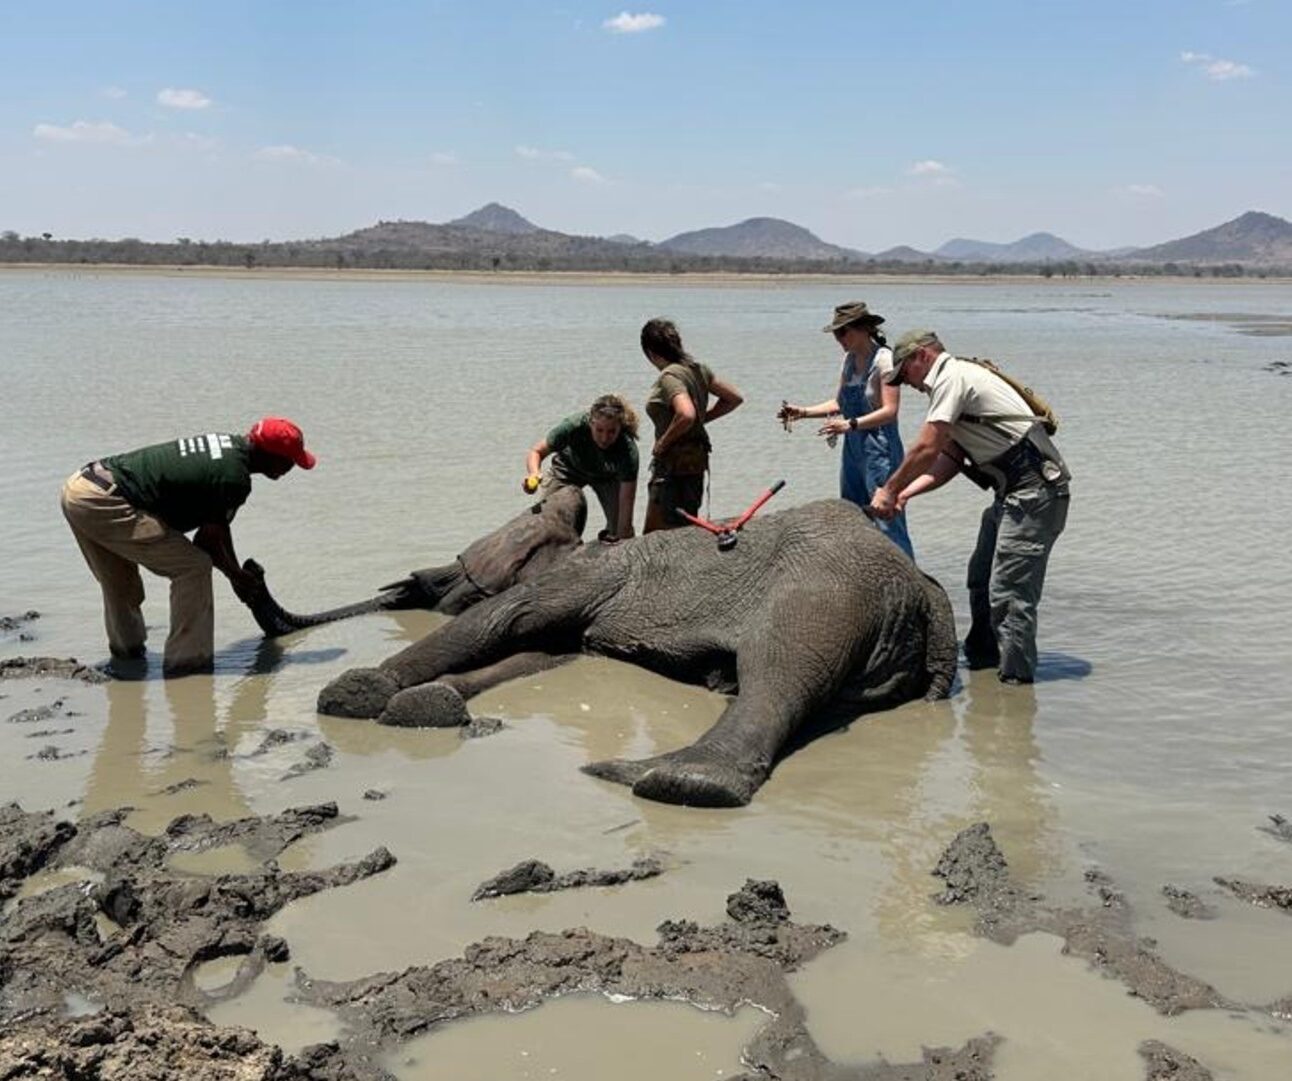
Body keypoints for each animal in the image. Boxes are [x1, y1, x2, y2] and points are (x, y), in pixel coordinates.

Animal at [317, 499, 958, 808]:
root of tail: (922, 589)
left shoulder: (586, 577)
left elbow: (499, 618)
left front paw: (359, 693)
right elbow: (541, 654)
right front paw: (433, 702)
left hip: (826, 591)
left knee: (777, 672)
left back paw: (667, 781)